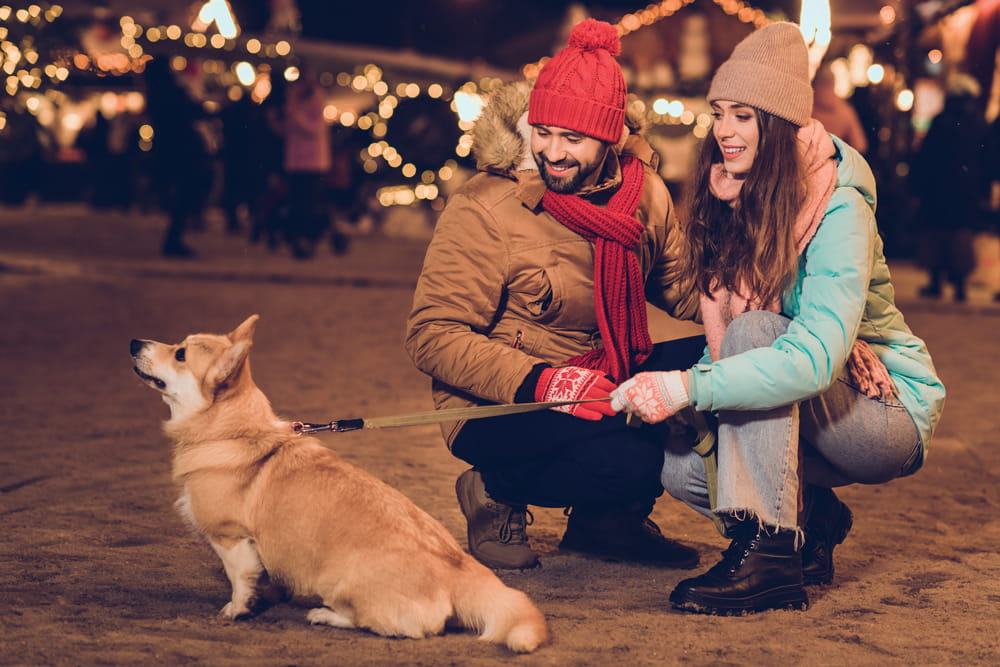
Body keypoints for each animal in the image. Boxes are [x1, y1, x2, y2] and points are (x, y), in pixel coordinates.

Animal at [130, 316, 552, 656]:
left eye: (180, 354)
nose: (134, 342)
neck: (232, 431)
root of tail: (459, 571)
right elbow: (263, 578)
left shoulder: (231, 538)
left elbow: (240, 581)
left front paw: (236, 611)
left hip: (338, 582)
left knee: (403, 627)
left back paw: (325, 615)